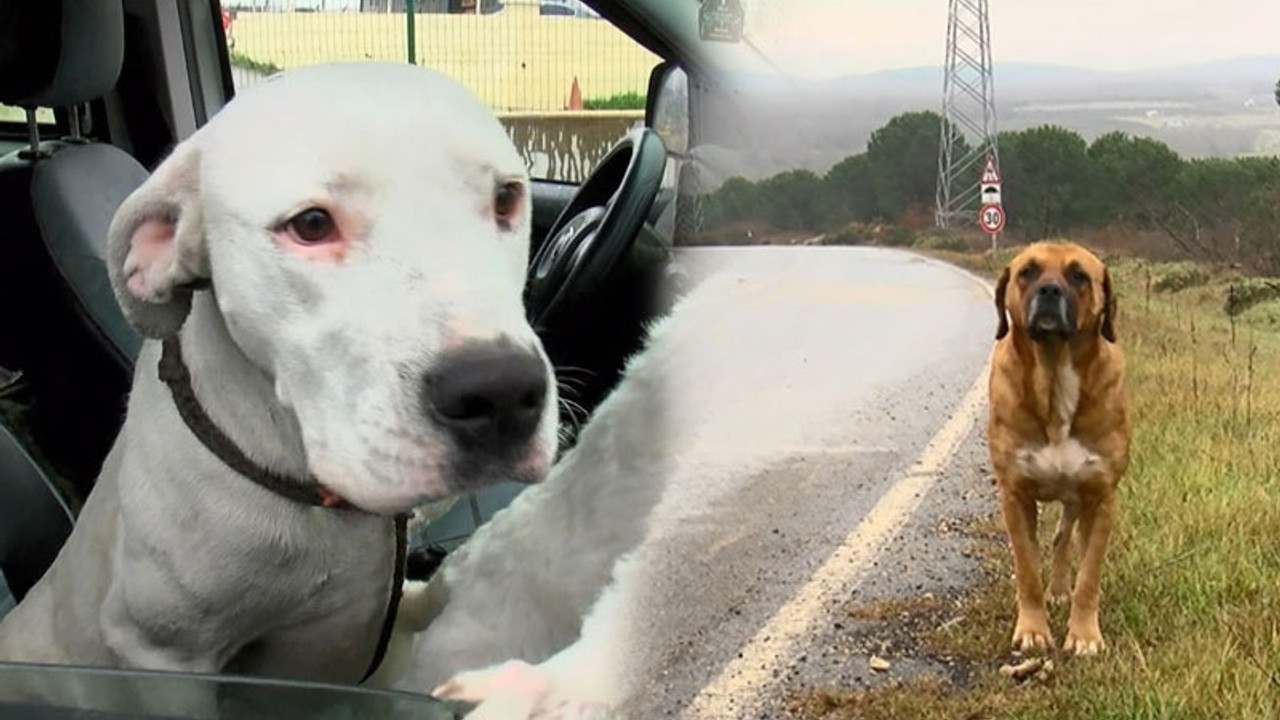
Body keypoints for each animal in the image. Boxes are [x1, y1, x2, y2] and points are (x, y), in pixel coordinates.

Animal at [988, 242, 1131, 655]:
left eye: (1078, 275)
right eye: (1028, 272)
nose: (1049, 291)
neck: (1054, 381)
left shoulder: (1100, 497)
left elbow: (1089, 576)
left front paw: (1084, 635)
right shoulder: (1015, 495)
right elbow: (1027, 569)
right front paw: (1033, 630)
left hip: (1076, 499)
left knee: (1064, 539)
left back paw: (1060, 589)